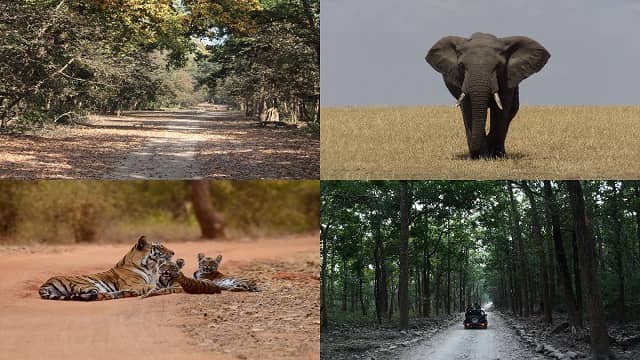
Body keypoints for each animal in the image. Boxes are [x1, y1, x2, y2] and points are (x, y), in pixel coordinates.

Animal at [39, 236, 175, 300]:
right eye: (160, 247)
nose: (173, 253)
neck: (151, 268)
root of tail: (46, 283)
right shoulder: (133, 284)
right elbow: (150, 286)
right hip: (88, 284)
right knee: (93, 296)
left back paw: (127, 294)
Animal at [424, 32, 552, 159]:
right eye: (461, 66)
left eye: (499, 66)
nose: (474, 153)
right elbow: (468, 109)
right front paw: (480, 156)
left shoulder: (506, 77)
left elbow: (501, 110)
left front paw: (496, 156)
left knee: (512, 111)